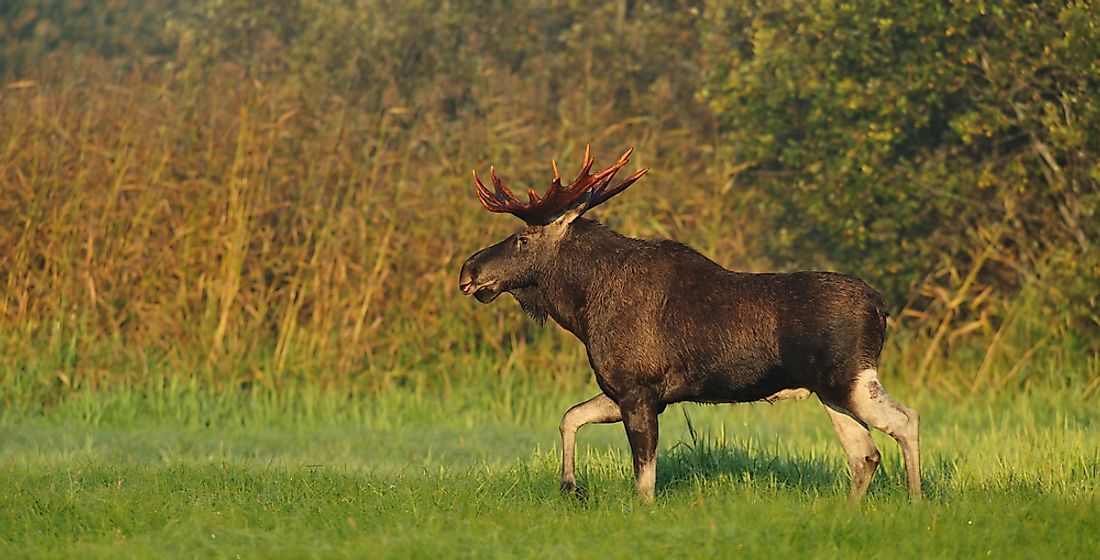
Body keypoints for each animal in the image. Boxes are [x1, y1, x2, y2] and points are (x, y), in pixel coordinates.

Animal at [455, 146, 919, 499]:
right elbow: (570, 416)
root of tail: (881, 308)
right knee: (865, 454)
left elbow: (644, 482)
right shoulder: (627, 390)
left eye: (522, 238)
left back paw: (916, 503)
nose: (468, 271)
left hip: (850, 378)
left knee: (905, 421)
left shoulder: (638, 389)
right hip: (830, 391)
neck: (583, 307)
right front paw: (571, 486)